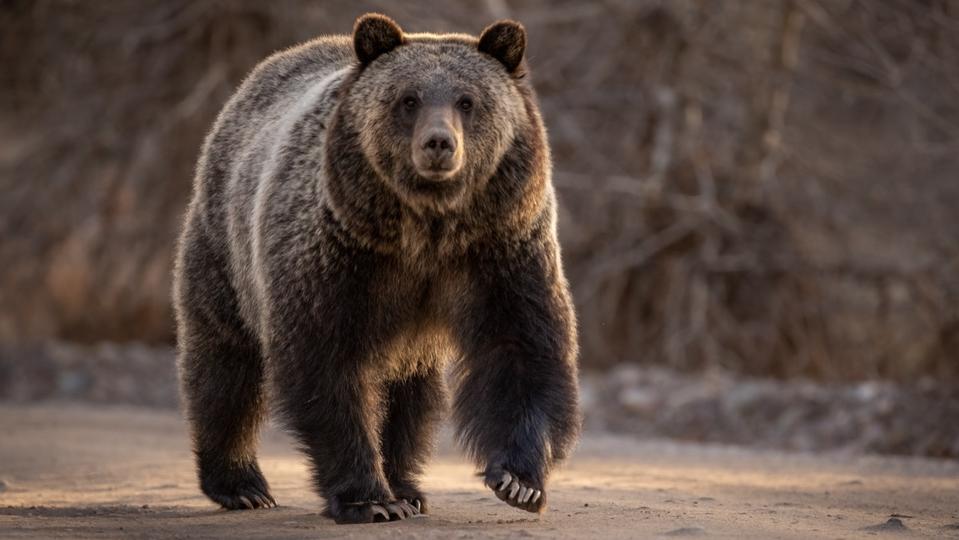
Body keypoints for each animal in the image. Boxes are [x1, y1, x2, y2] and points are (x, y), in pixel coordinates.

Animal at [172, 12, 580, 524]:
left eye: (467, 100)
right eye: (408, 99)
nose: (439, 143)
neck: (427, 228)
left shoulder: (500, 247)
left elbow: (522, 346)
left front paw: (518, 481)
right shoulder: (339, 254)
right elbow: (327, 363)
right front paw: (368, 498)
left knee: (412, 394)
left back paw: (407, 485)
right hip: (226, 247)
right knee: (226, 363)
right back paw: (241, 484)